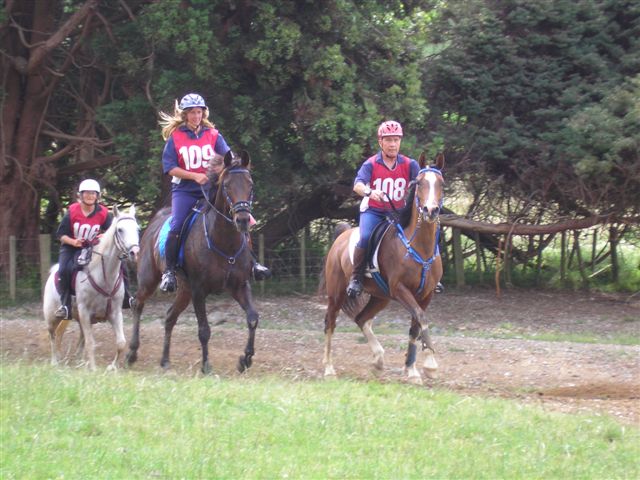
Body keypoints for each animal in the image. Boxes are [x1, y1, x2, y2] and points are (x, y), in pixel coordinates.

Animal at [43, 204, 141, 370]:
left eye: (137, 229)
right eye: (120, 229)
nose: (134, 252)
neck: (104, 276)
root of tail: (53, 271)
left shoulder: (115, 313)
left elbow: (121, 343)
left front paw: (112, 367)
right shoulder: (84, 311)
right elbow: (91, 343)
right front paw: (94, 369)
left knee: (75, 336)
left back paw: (79, 361)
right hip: (52, 315)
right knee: (52, 334)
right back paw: (55, 361)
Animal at [126, 152, 258, 374]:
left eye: (250, 184)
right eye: (226, 185)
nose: (242, 219)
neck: (225, 242)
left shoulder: (239, 285)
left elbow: (253, 318)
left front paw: (245, 359)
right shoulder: (199, 290)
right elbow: (204, 330)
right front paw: (206, 365)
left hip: (184, 290)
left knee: (170, 317)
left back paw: (165, 360)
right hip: (150, 279)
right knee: (137, 303)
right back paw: (131, 353)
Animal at [320, 152, 444, 384]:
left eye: (441, 183)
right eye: (420, 183)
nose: (430, 210)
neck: (418, 246)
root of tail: (341, 236)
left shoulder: (426, 294)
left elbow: (416, 327)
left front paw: (412, 370)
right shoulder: (400, 289)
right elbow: (421, 319)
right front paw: (431, 364)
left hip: (380, 297)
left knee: (361, 319)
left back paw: (378, 361)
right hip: (337, 293)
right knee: (330, 323)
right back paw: (329, 369)